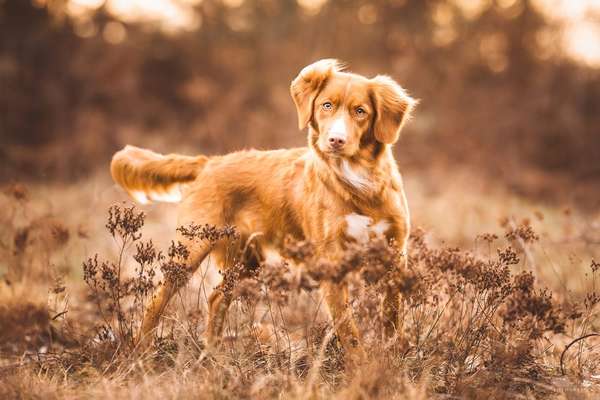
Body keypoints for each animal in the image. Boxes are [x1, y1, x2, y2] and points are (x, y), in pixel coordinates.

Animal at [110, 59, 414, 366]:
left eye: (360, 111)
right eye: (326, 105)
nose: (335, 140)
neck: (359, 185)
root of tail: (210, 162)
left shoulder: (394, 252)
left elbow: (392, 315)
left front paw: (392, 357)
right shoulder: (331, 262)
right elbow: (348, 327)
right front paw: (361, 367)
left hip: (245, 260)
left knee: (217, 298)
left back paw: (214, 353)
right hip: (191, 250)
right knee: (156, 300)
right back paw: (142, 352)